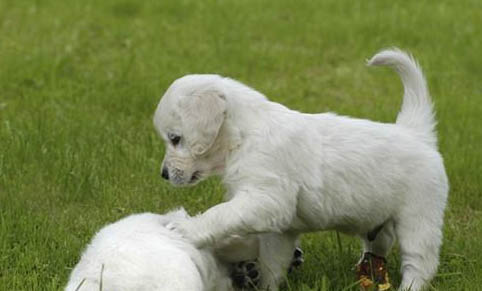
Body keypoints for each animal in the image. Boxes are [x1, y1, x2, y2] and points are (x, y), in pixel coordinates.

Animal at [153, 49, 448, 290]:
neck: (244, 135)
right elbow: (272, 264)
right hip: (379, 225)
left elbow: (221, 214)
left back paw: (408, 285)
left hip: (418, 220)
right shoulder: (280, 228)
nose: (164, 175)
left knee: (420, 264)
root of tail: (415, 132)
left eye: (175, 138)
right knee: (378, 248)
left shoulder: (266, 198)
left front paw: (186, 228)